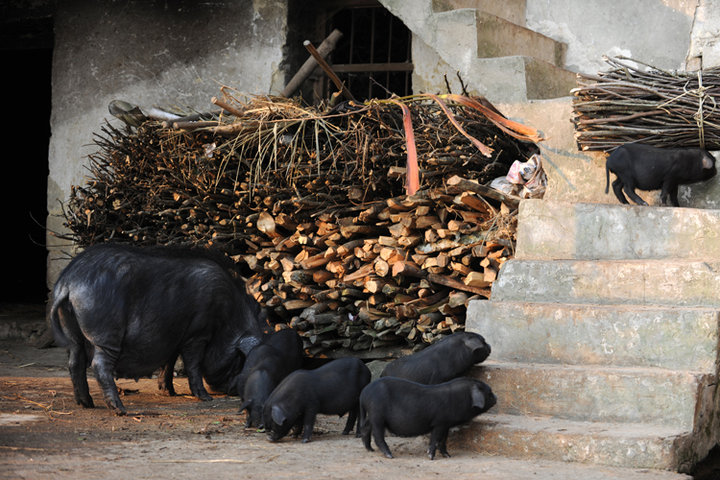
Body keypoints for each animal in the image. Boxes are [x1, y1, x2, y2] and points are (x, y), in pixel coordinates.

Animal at [50, 246, 268, 414]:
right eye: (240, 361)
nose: (233, 391)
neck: (227, 318)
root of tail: (68, 283)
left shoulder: (174, 335)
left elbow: (169, 362)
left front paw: (168, 392)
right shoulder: (198, 334)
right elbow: (193, 364)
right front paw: (206, 398)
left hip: (73, 333)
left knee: (75, 363)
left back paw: (87, 404)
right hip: (105, 333)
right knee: (99, 365)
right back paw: (120, 410)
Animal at [358, 376, 496, 460]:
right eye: (489, 393)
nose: (496, 398)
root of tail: (364, 393)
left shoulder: (446, 424)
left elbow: (443, 440)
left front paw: (448, 456)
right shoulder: (439, 422)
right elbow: (435, 439)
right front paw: (431, 457)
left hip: (371, 415)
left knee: (365, 427)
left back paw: (370, 450)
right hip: (377, 414)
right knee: (378, 435)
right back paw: (390, 455)